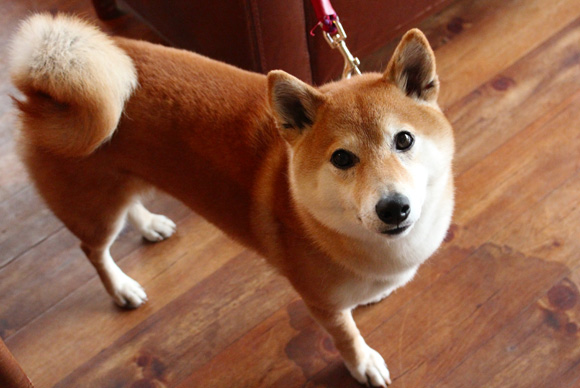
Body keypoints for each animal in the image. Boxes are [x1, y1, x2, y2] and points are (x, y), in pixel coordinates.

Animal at [9, 13, 454, 386]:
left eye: (404, 140)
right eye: (342, 158)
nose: (393, 207)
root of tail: (43, 91)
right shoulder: (322, 304)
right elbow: (346, 336)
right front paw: (362, 364)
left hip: (120, 184)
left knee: (128, 205)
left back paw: (150, 224)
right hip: (94, 211)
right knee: (93, 250)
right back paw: (121, 287)